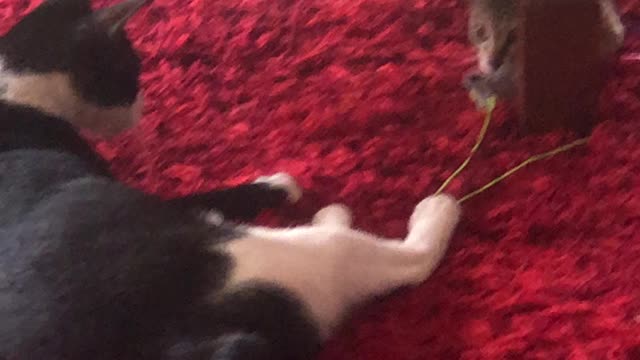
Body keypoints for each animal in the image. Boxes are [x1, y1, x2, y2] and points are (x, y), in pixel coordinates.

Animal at [0, 1, 460, 358]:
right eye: (134, 69)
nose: (143, 103)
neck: (15, 94)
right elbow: (224, 194)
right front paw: (278, 183)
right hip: (275, 261)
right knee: (395, 259)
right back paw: (430, 209)